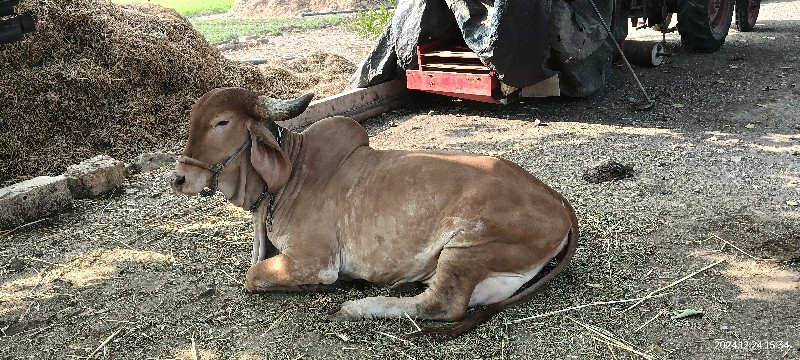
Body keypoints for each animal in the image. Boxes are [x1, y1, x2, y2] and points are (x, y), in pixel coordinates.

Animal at [172, 86, 580, 338]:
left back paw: (356, 306)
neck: (290, 177)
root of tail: (560, 202)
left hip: (469, 245)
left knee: (443, 305)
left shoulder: (315, 260)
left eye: (222, 122)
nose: (179, 178)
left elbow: (253, 276)